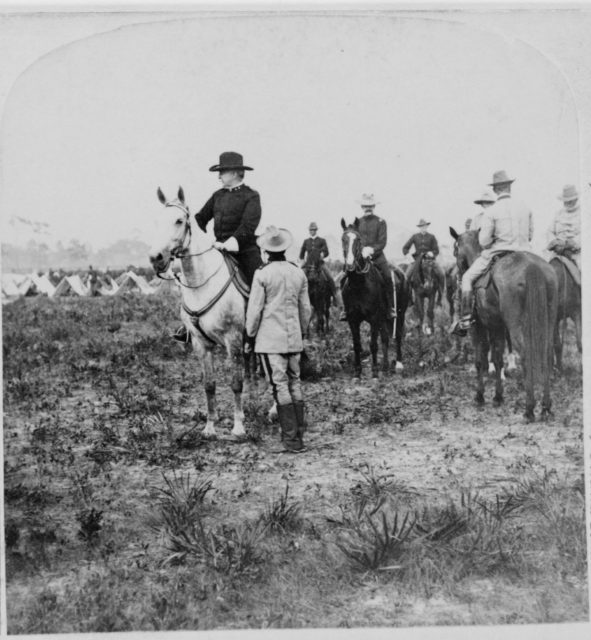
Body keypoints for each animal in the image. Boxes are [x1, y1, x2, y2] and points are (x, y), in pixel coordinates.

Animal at [149, 185, 251, 440]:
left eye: (179, 220)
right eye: (156, 221)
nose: (156, 258)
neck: (201, 283)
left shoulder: (233, 340)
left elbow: (236, 382)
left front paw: (238, 426)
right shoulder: (200, 343)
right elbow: (209, 385)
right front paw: (209, 427)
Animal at [340, 220, 410, 380]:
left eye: (359, 240)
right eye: (343, 239)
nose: (350, 265)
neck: (358, 285)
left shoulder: (373, 318)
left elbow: (373, 344)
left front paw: (374, 372)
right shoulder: (353, 319)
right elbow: (357, 344)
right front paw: (357, 372)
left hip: (400, 314)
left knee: (397, 336)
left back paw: (398, 364)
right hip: (383, 318)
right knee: (385, 338)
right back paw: (385, 367)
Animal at [450, 228, 556, 422]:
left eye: (455, 250)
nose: (459, 279)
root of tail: (532, 267)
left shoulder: (478, 328)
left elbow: (480, 360)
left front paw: (480, 396)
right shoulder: (496, 327)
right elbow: (498, 359)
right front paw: (498, 396)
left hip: (516, 327)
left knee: (525, 354)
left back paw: (529, 409)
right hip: (549, 321)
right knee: (547, 353)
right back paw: (546, 406)